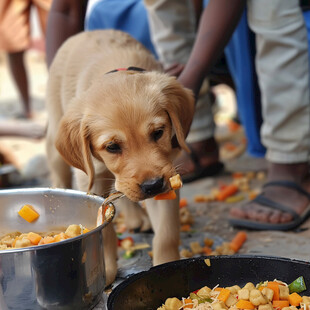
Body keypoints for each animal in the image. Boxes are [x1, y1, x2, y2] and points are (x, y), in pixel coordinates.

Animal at [45, 29, 194, 286]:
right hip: (57, 133)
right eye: (112, 147)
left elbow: (166, 232)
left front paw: (166, 266)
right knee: (58, 168)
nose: (152, 185)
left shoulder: (167, 175)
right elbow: (103, 227)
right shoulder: (91, 181)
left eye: (158, 132)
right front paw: (104, 268)